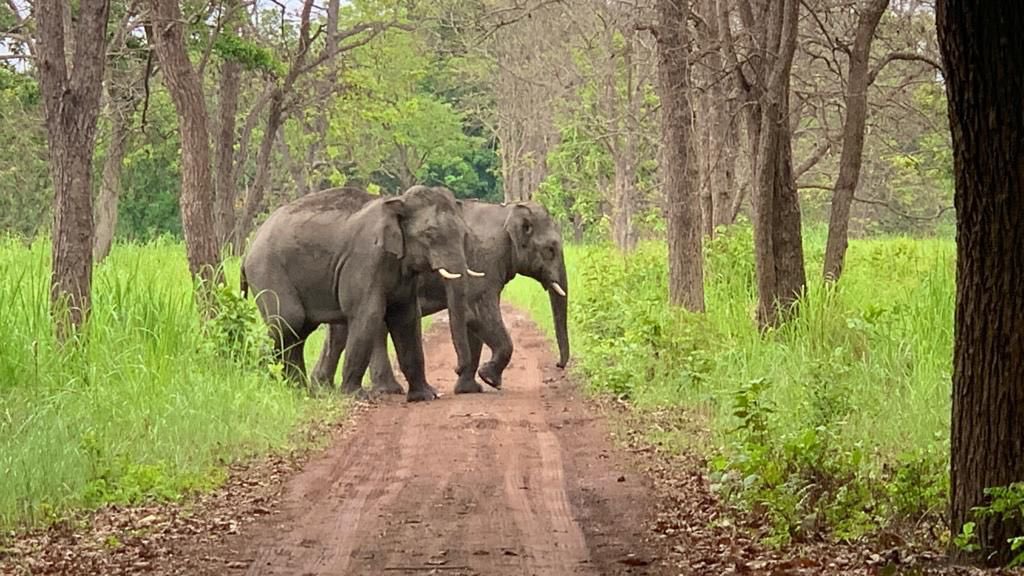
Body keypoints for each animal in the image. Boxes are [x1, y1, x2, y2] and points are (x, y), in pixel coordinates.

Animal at [240, 185, 483, 402]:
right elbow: (368, 315)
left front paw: (425, 396)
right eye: (430, 234)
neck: (397, 201)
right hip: (267, 270)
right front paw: (356, 396)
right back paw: (289, 388)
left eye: (464, 233)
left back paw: (301, 391)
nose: (456, 368)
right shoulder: (364, 261)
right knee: (289, 321)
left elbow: (406, 319)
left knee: (299, 329)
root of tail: (248, 249)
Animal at [311, 196, 570, 395]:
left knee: (342, 329)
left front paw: (470, 389)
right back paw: (387, 390)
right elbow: (478, 313)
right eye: (550, 249)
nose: (558, 364)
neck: (506, 211)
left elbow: (470, 322)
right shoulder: (484, 262)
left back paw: (321, 388)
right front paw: (490, 379)